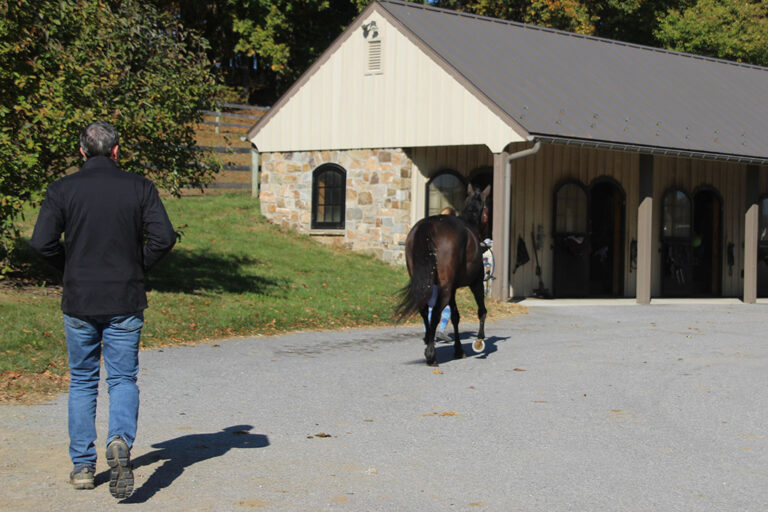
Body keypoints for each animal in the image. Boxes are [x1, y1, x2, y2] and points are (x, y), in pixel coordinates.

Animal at [396, 184, 491, 366]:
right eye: (487, 212)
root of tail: (428, 225)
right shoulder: (475, 283)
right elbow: (481, 310)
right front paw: (479, 341)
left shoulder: (452, 288)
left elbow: (455, 316)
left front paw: (459, 349)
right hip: (445, 289)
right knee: (435, 313)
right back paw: (431, 354)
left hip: (426, 284)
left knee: (424, 309)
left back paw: (428, 340)